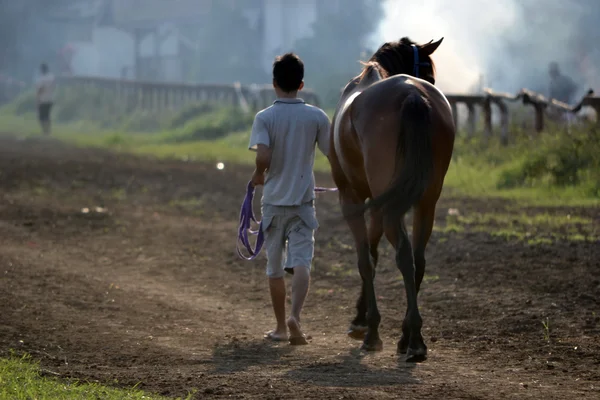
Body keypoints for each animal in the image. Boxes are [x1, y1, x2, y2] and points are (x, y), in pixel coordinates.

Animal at [328, 37, 454, 362]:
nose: (431, 82)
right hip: (425, 203)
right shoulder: (379, 202)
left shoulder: (352, 198)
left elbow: (365, 259)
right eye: (429, 72)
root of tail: (412, 95)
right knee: (417, 259)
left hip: (385, 205)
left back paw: (406, 338)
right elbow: (373, 253)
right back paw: (409, 337)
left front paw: (366, 326)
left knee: (404, 255)